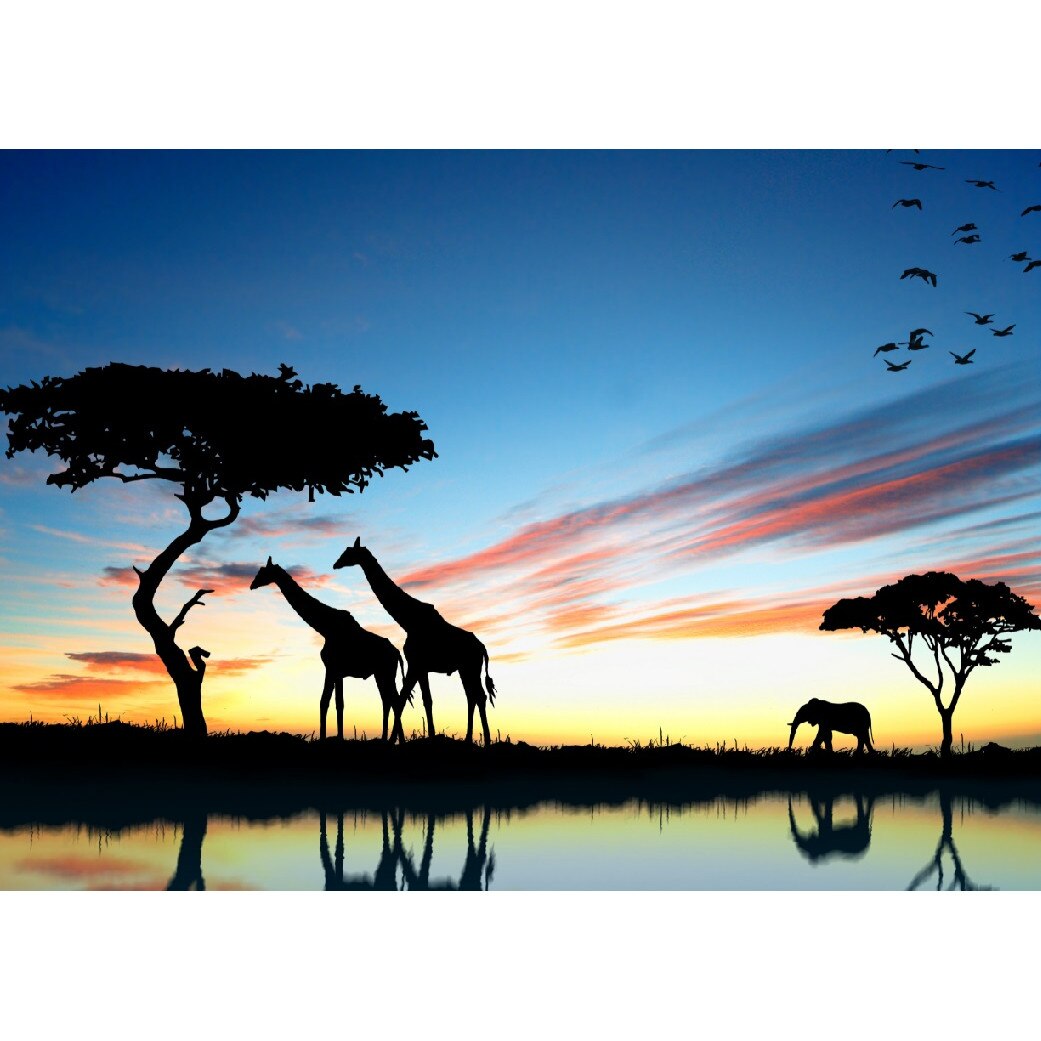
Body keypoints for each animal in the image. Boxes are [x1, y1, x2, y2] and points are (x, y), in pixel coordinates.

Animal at [249, 558, 407, 742]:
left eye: (263, 572)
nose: (252, 584)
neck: (325, 627)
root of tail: (396, 653)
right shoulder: (336, 671)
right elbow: (333, 702)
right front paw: (333, 737)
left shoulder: (333, 668)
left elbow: (329, 702)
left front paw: (330, 738)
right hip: (380, 674)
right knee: (388, 700)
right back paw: (386, 739)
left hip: (386, 672)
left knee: (394, 700)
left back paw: (395, 740)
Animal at [333, 537, 497, 745]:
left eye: (349, 552)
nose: (335, 564)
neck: (408, 620)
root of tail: (482, 648)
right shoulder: (420, 666)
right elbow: (423, 699)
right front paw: (425, 737)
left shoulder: (416, 664)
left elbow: (405, 699)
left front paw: (394, 740)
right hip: (465, 668)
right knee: (472, 696)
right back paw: (469, 739)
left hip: (471, 667)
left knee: (479, 696)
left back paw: (486, 740)